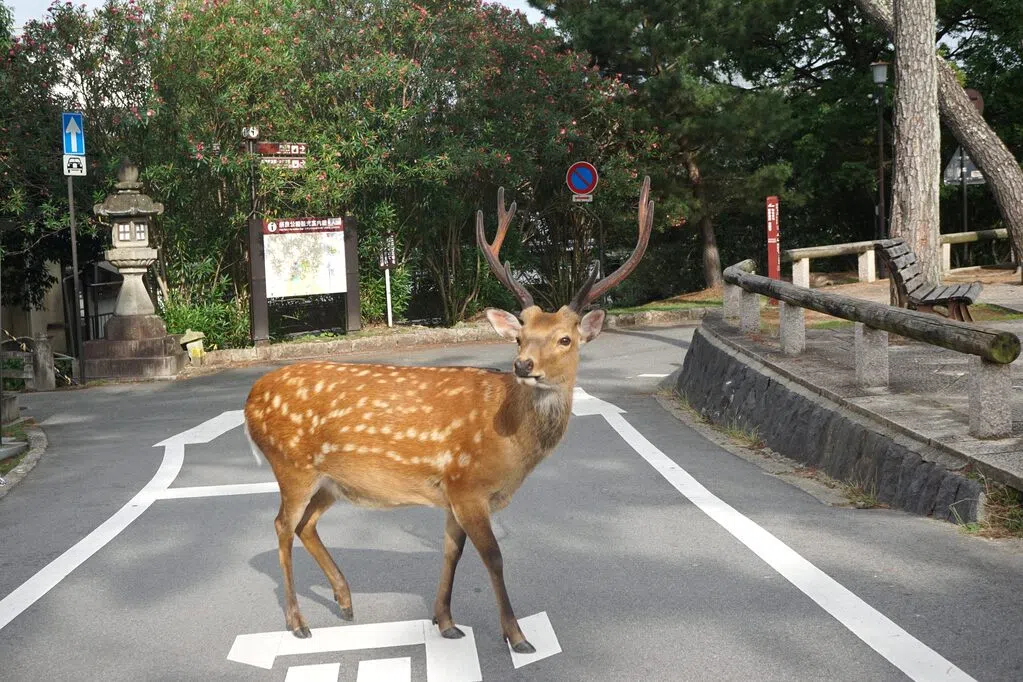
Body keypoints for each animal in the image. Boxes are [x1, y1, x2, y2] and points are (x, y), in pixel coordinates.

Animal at [243, 177, 653, 654]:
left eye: (565, 339)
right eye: (520, 337)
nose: (523, 366)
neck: (509, 444)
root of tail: (250, 399)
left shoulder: (453, 492)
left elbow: (451, 552)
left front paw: (445, 621)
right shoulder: (467, 484)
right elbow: (493, 556)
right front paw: (517, 636)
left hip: (331, 480)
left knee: (305, 525)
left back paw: (345, 601)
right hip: (291, 465)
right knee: (281, 525)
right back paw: (297, 622)